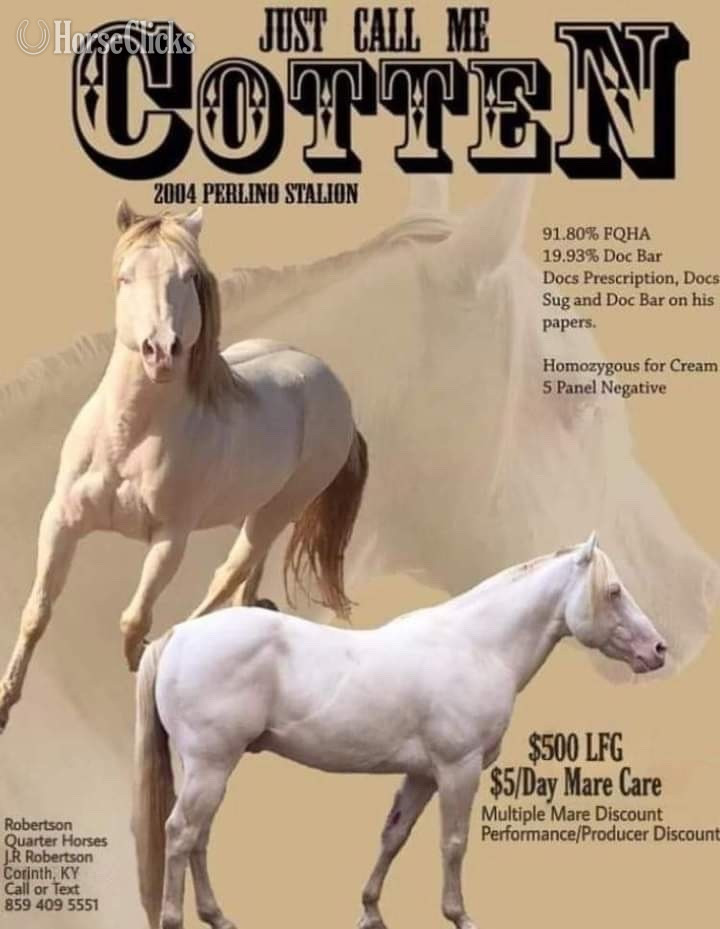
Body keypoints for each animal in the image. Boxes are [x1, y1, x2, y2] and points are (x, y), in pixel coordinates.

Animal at [0, 202, 368, 732]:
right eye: (125, 277)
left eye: (189, 276)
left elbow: (133, 620)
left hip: (278, 508)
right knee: (249, 568)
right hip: (253, 507)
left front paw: (144, 662)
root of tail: (334, 387)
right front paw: (3, 705)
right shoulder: (62, 522)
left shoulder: (169, 538)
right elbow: (37, 611)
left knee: (230, 571)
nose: (161, 351)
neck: (126, 440)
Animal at [132, 532, 667, 929]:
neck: (476, 646)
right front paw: (460, 916)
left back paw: (218, 917)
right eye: (614, 591)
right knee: (180, 833)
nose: (658, 650)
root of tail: (179, 635)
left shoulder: (423, 775)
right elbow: (454, 843)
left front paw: (370, 912)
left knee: (199, 837)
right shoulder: (458, 769)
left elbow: (394, 835)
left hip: (211, 768)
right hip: (211, 765)